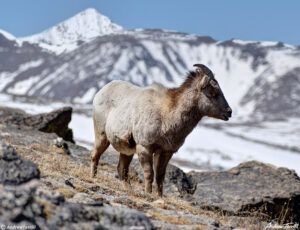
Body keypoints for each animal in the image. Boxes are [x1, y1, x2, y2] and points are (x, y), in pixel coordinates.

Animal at [91, 64, 232, 196]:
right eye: (212, 93)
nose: (229, 112)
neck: (166, 116)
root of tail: (100, 93)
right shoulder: (145, 148)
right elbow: (149, 174)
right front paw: (149, 194)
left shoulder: (165, 152)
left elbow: (160, 177)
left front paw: (159, 196)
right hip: (102, 136)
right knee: (95, 155)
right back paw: (93, 177)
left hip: (127, 151)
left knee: (122, 169)